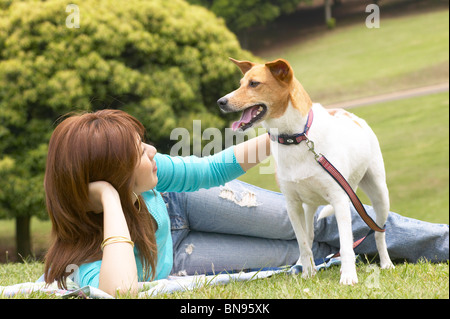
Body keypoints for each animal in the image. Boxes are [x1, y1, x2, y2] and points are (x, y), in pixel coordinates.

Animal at [218, 58, 394, 286]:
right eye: (240, 83)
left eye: (254, 84)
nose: (221, 102)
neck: (296, 138)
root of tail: (351, 115)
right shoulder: (292, 204)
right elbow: (302, 241)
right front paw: (308, 272)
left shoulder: (340, 200)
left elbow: (346, 244)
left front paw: (348, 276)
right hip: (309, 206)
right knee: (309, 236)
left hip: (379, 194)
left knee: (379, 231)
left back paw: (386, 262)